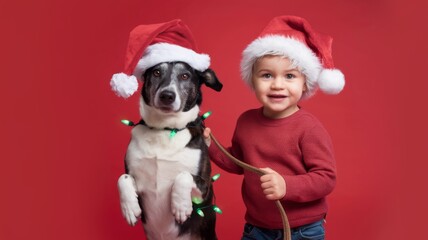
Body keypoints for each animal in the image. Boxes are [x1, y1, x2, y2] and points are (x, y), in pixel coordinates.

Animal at [118, 62, 222, 240]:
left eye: (185, 76)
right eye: (157, 72)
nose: (167, 95)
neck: (166, 129)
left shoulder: (205, 189)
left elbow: (184, 175)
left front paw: (181, 206)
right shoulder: (136, 179)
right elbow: (123, 178)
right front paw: (129, 208)